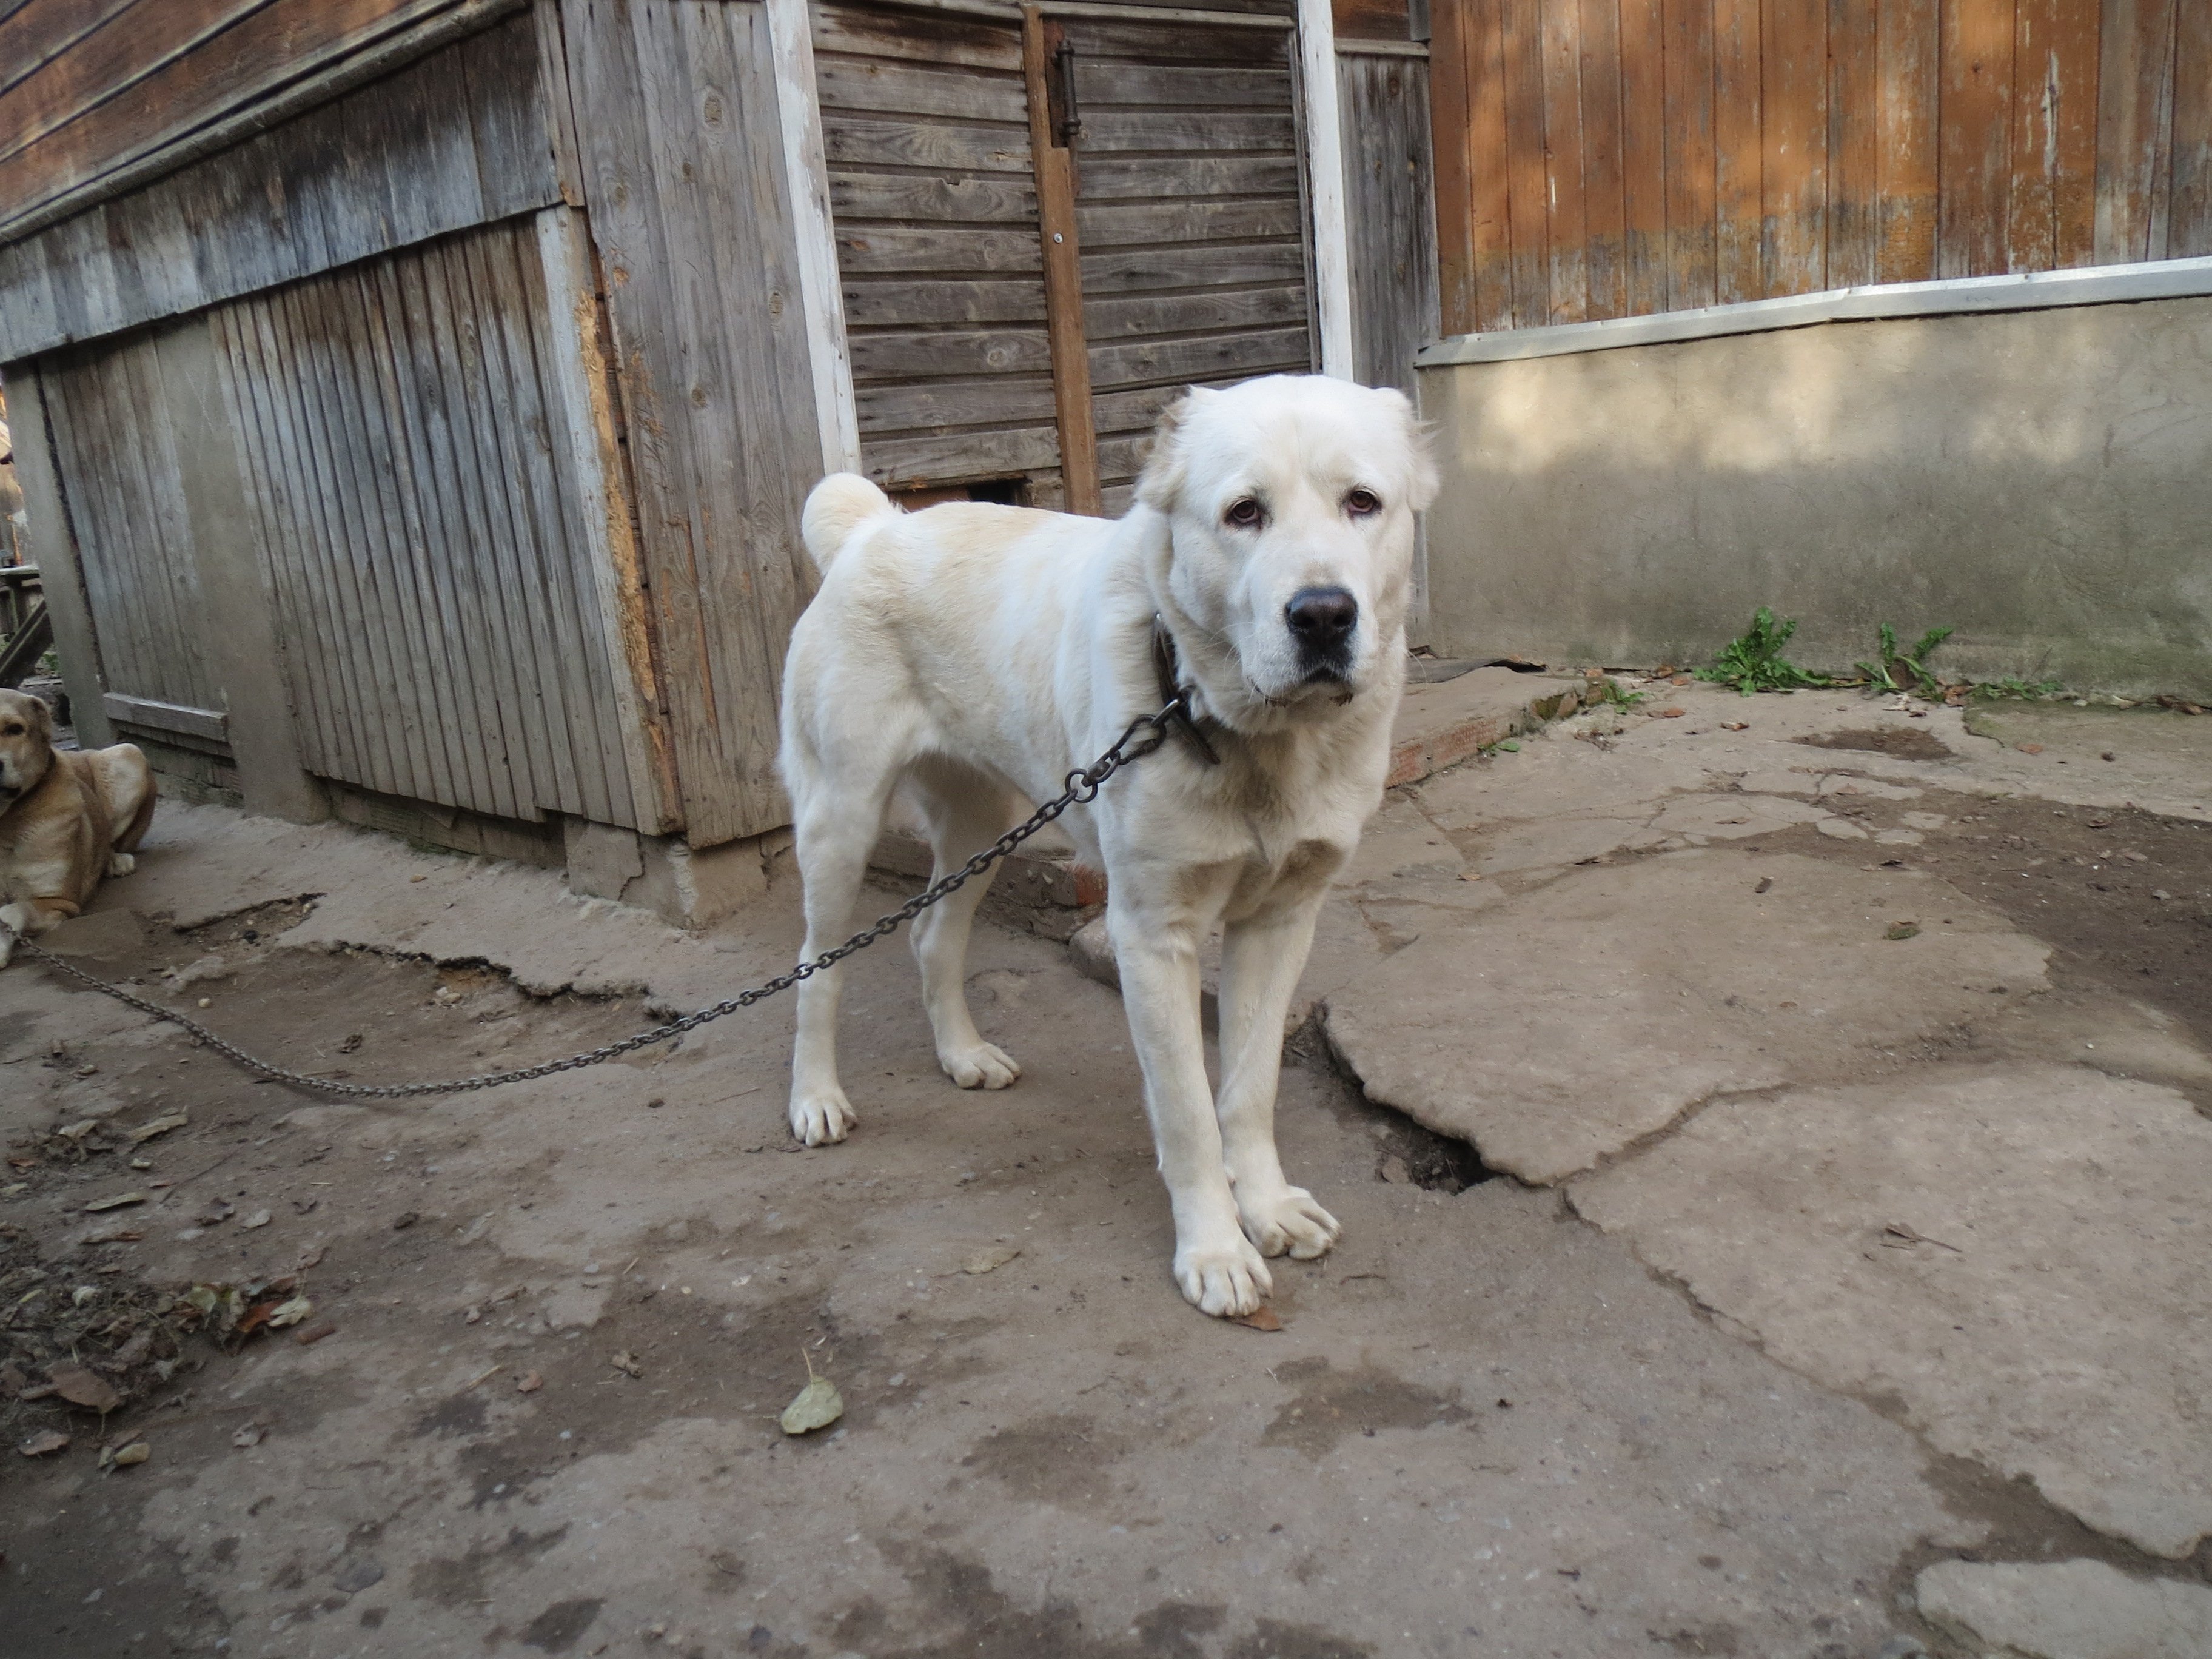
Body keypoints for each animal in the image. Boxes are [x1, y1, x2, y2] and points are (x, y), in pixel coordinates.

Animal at [0, 688, 154, 967]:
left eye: (14, 729)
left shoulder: (58, 901)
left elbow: (12, 909)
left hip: (127, 754)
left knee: (113, 842)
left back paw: (114, 861)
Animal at [777, 374, 1436, 1317]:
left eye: (1363, 503)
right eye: (1244, 512)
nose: (1322, 615)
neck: (1238, 727)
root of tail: (874, 525)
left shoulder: (1281, 923)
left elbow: (1250, 1089)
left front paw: (1267, 1207)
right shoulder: (1150, 936)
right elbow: (1189, 1111)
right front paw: (1215, 1250)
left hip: (986, 821)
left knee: (931, 936)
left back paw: (963, 1056)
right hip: (842, 817)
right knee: (815, 966)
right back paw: (817, 1098)